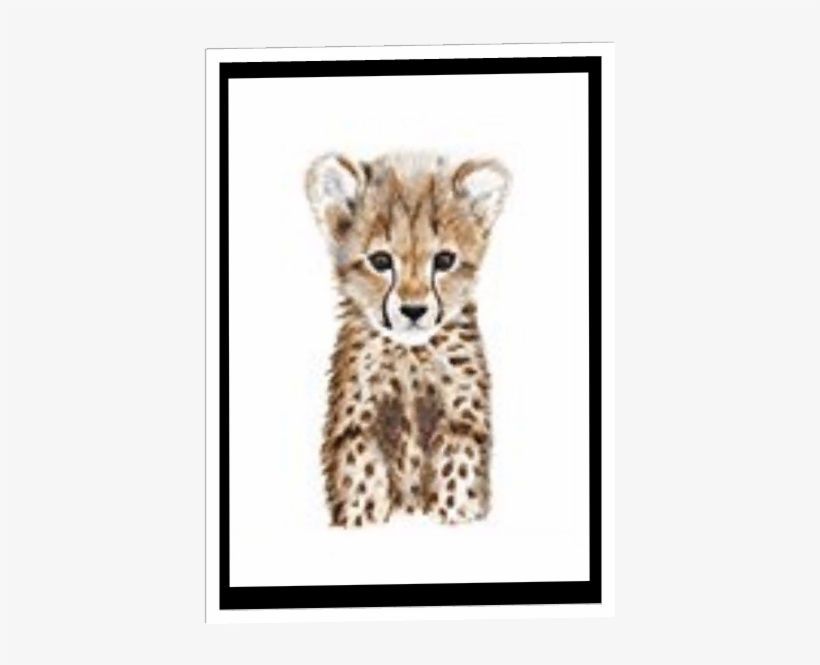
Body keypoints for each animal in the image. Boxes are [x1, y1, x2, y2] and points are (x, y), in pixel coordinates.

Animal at [304, 151, 510, 527]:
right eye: (380, 261)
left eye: (444, 260)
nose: (414, 310)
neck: (410, 353)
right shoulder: (358, 426)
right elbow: (362, 478)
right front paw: (363, 517)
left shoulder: (461, 421)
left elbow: (457, 473)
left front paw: (454, 513)